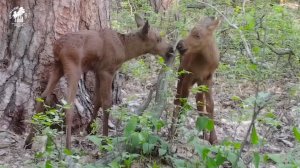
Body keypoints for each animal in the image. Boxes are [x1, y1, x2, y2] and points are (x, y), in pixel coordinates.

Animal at [24, 13, 175, 149]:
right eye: (158, 39)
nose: (171, 49)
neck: (125, 50)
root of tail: (57, 47)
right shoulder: (107, 71)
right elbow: (107, 103)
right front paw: (104, 139)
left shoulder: (97, 71)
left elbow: (97, 100)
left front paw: (90, 128)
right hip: (74, 68)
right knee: (69, 105)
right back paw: (67, 147)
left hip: (57, 66)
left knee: (43, 96)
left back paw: (29, 141)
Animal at [171, 16, 220, 144]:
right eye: (190, 31)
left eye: (198, 35)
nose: (179, 45)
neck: (206, 61)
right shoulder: (189, 75)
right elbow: (183, 101)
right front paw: (176, 131)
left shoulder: (208, 78)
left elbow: (210, 105)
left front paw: (213, 138)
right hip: (181, 73)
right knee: (178, 99)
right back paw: (173, 129)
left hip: (199, 81)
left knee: (199, 101)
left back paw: (204, 134)